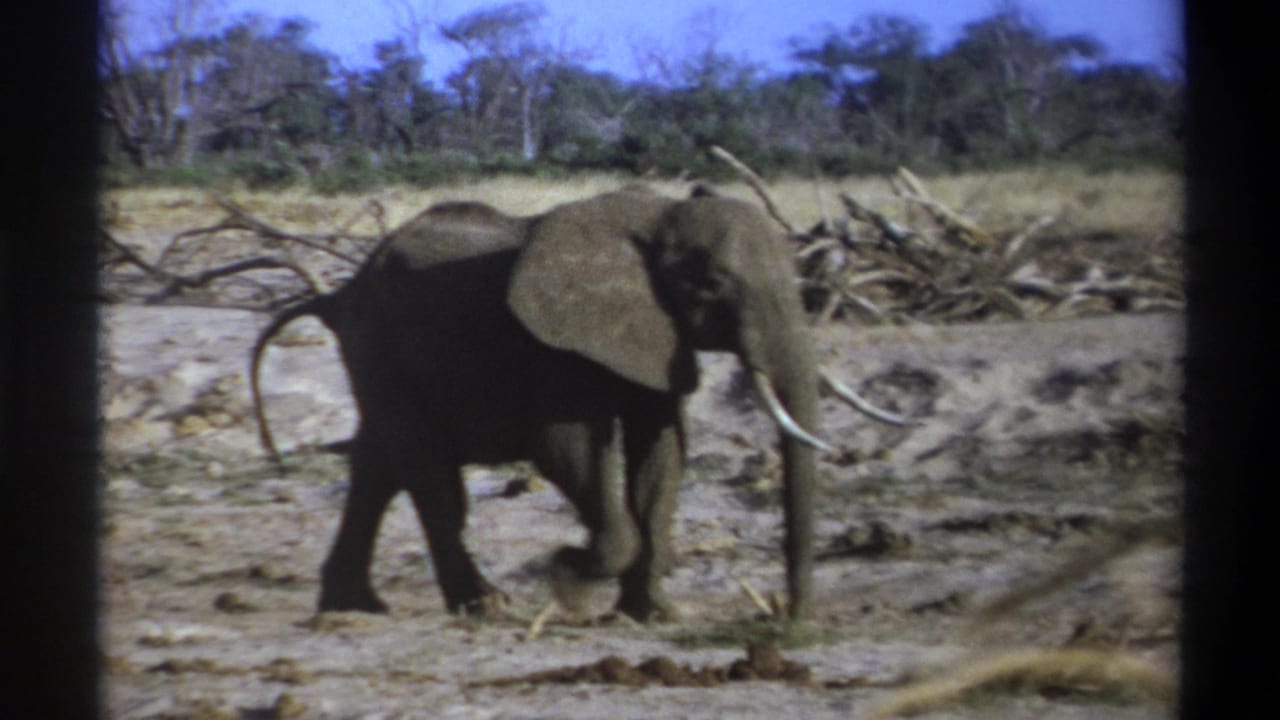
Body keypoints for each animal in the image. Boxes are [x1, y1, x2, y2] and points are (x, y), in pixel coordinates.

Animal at [250, 184, 906, 622]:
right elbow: (565, 449)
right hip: (381, 349)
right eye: (712, 286)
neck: (657, 219)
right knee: (427, 477)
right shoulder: (557, 345)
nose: (790, 618)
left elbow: (661, 452)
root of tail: (339, 293)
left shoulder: (654, 335)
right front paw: (565, 578)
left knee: (378, 466)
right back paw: (484, 606)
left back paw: (355, 606)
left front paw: (652, 615)